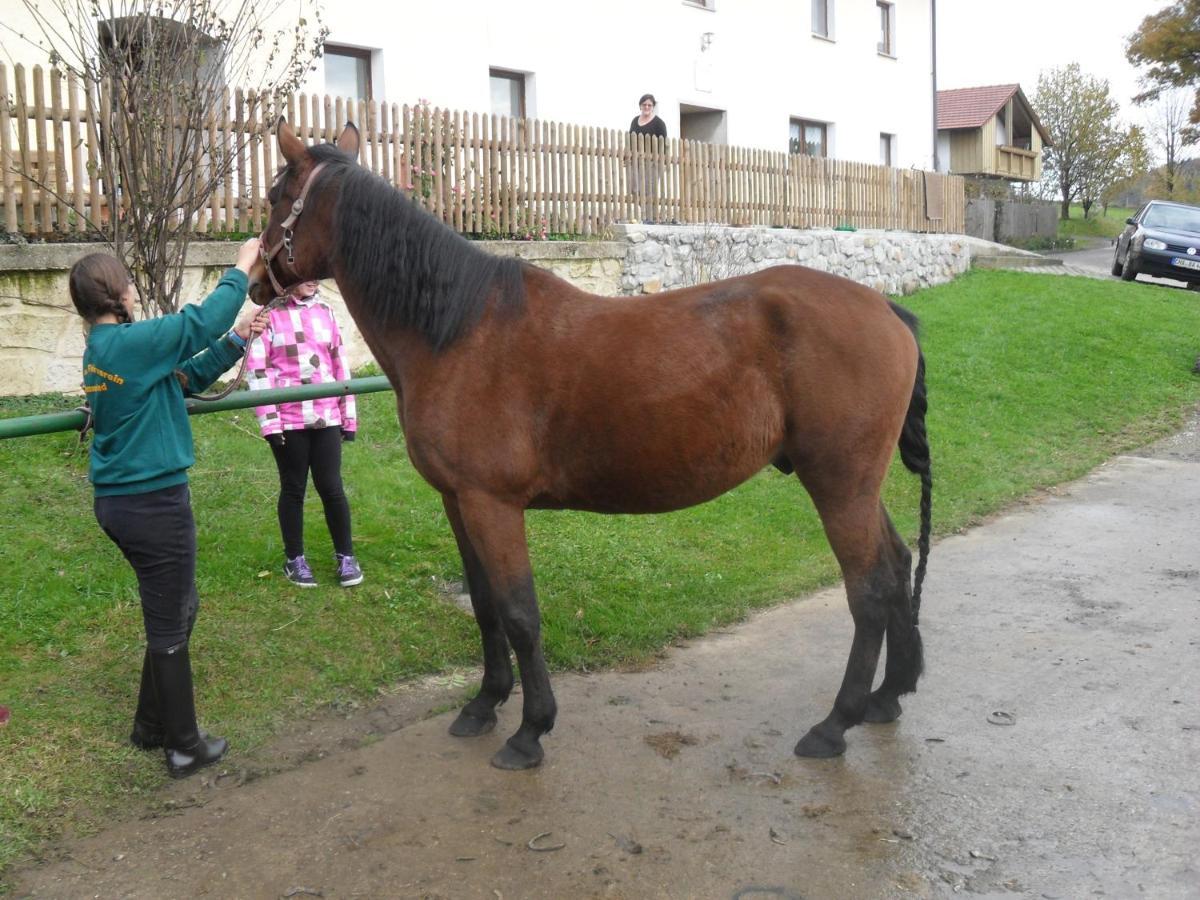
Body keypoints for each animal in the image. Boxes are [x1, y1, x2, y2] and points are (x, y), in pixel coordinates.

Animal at [248, 116, 931, 772]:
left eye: (278, 196)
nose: (252, 282)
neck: (455, 330)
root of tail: (887, 311)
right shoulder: (458, 502)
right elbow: (486, 607)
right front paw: (484, 704)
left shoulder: (492, 505)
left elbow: (520, 613)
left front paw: (530, 730)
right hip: (856, 485)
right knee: (898, 566)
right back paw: (887, 696)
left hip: (839, 484)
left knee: (869, 589)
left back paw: (835, 723)